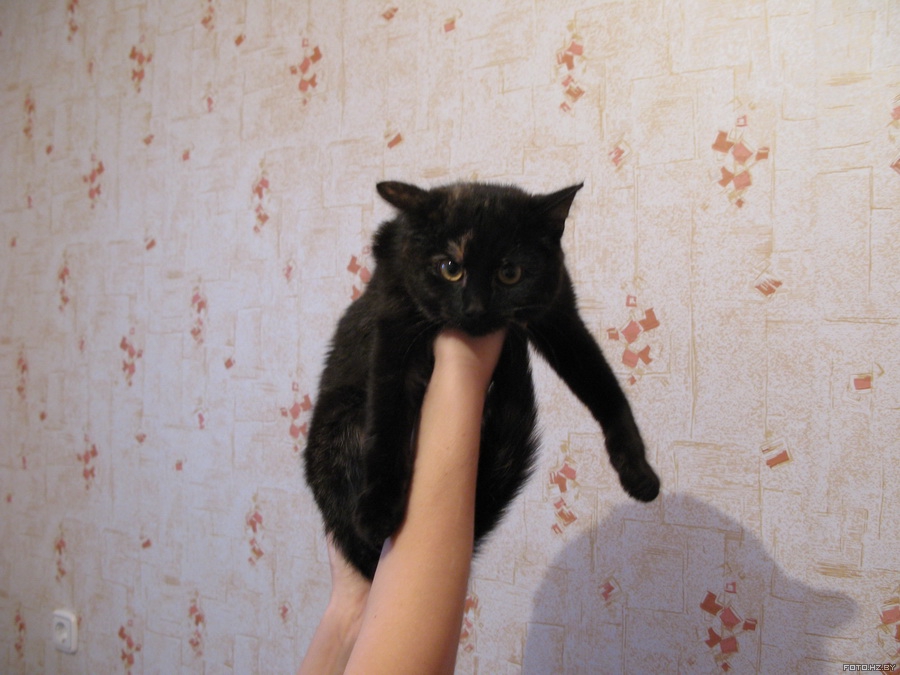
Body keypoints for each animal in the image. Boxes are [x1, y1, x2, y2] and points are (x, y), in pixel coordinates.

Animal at [304, 180, 660, 580]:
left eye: (510, 273)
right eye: (449, 268)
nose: (474, 308)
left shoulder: (559, 317)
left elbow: (604, 387)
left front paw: (638, 471)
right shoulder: (395, 330)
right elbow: (387, 419)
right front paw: (377, 510)